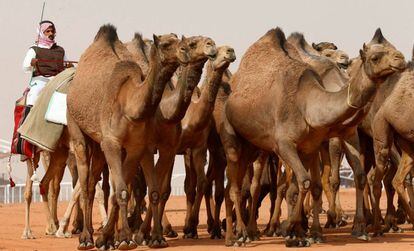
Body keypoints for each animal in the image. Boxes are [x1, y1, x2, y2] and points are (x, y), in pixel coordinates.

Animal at [67, 24, 190, 251]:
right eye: (166, 44)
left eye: (180, 39)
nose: (185, 50)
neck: (130, 105)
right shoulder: (112, 143)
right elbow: (122, 190)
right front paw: (123, 238)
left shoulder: (134, 146)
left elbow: (121, 191)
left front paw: (116, 238)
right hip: (76, 128)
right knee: (85, 182)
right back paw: (85, 238)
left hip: (99, 145)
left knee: (93, 183)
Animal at [220, 26, 404, 246]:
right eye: (375, 57)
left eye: (392, 49)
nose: (401, 58)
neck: (308, 104)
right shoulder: (285, 145)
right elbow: (303, 183)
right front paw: (291, 229)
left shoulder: (316, 143)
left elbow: (310, 185)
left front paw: (304, 232)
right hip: (234, 138)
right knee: (240, 186)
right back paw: (241, 234)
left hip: (251, 146)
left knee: (239, 185)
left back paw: (240, 232)